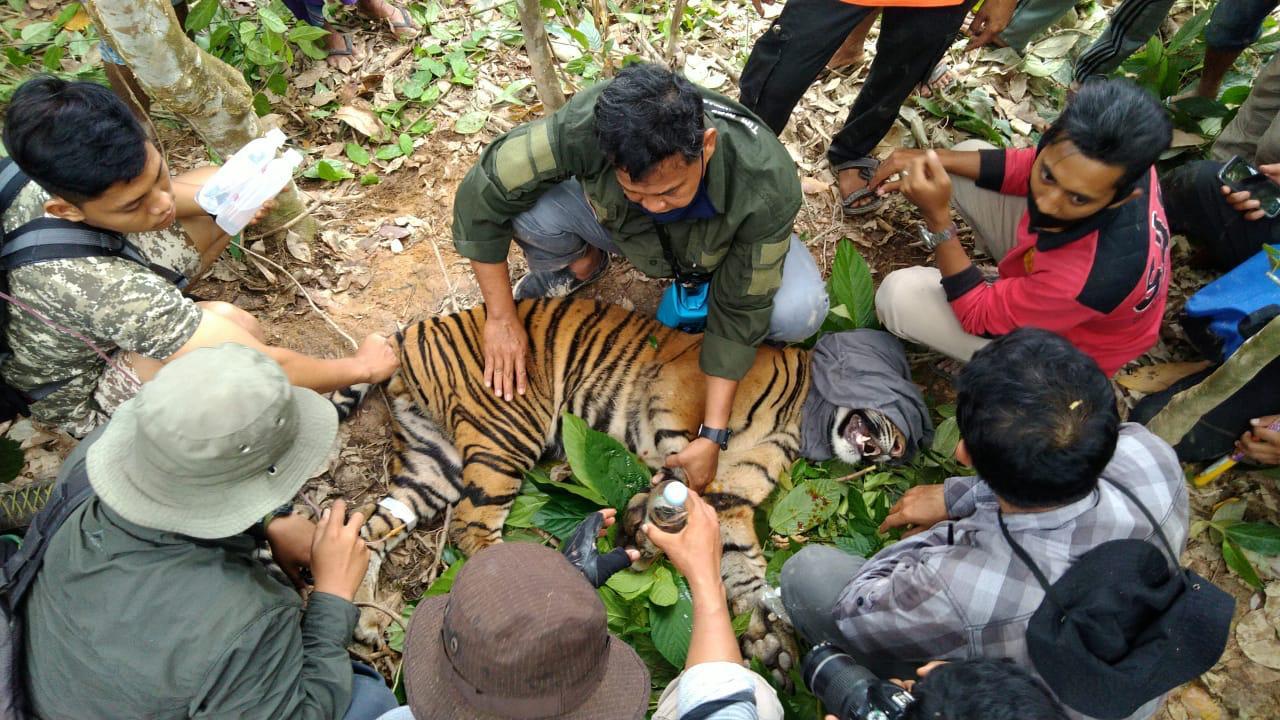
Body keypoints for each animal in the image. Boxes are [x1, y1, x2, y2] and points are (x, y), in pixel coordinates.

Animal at [361, 296, 913, 673]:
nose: (900, 451)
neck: (803, 417)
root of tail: (412, 333)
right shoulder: (682, 389)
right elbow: (681, 455)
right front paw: (646, 515)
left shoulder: (732, 498)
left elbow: (740, 563)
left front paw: (768, 640)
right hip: (505, 435)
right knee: (473, 527)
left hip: (436, 463)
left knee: (372, 526)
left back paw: (365, 622)